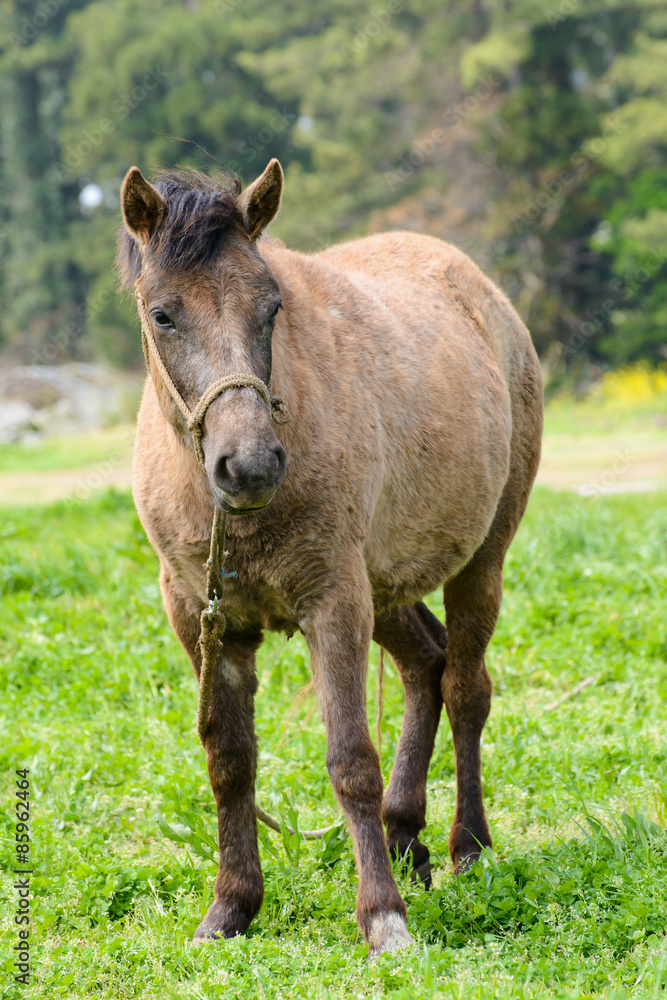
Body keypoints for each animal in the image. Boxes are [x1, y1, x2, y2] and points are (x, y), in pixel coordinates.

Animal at [116, 160, 544, 956]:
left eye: (271, 307)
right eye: (163, 314)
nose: (248, 465)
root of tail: (481, 289)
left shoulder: (333, 602)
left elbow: (350, 759)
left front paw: (382, 920)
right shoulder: (203, 620)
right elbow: (231, 763)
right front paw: (230, 907)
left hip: (478, 563)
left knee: (466, 686)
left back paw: (466, 846)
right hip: (386, 586)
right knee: (425, 665)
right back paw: (405, 836)